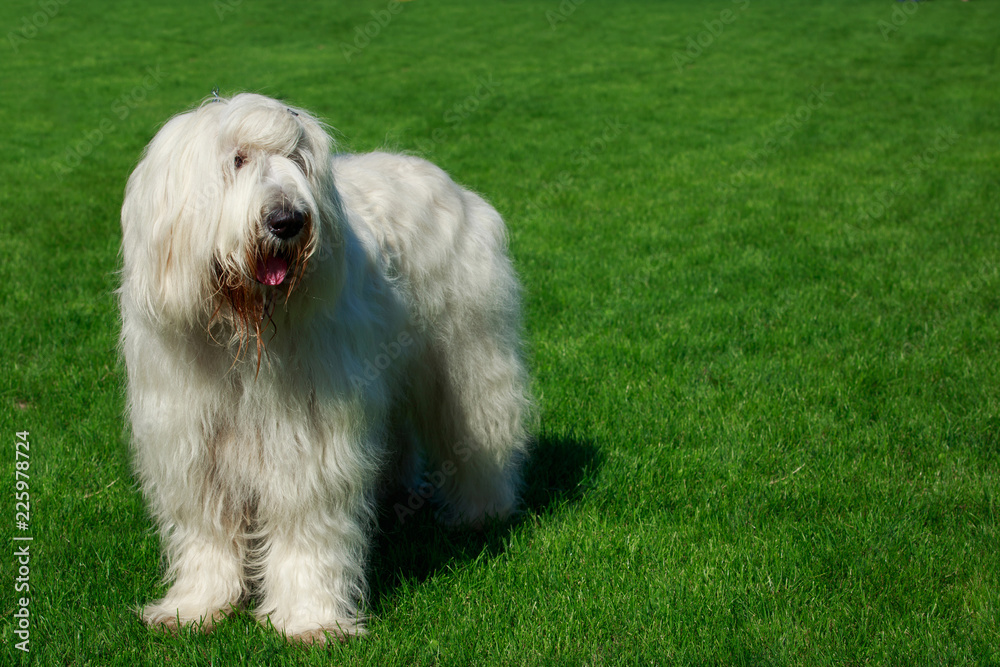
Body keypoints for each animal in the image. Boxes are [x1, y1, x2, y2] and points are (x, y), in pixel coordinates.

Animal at [119, 92, 532, 640]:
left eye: (298, 160)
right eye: (237, 160)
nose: (288, 220)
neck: (240, 332)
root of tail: (447, 181)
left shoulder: (307, 440)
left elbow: (305, 525)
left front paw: (309, 620)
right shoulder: (191, 444)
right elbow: (206, 529)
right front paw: (195, 607)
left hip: (467, 358)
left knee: (478, 433)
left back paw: (481, 510)